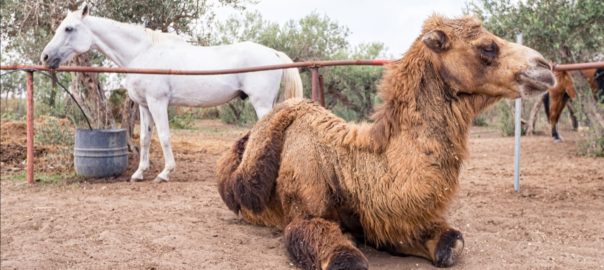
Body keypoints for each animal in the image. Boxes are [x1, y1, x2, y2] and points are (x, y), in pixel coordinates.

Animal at [42, 4, 304, 181]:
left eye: (68, 28)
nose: (45, 57)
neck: (142, 54)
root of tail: (273, 53)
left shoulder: (158, 102)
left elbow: (165, 136)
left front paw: (165, 173)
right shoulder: (144, 105)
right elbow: (145, 138)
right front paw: (139, 173)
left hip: (261, 104)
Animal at [215, 15, 556, 270]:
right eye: (487, 47)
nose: (546, 67)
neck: (350, 168)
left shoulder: (385, 217)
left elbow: (451, 242)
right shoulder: (304, 216)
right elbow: (346, 260)